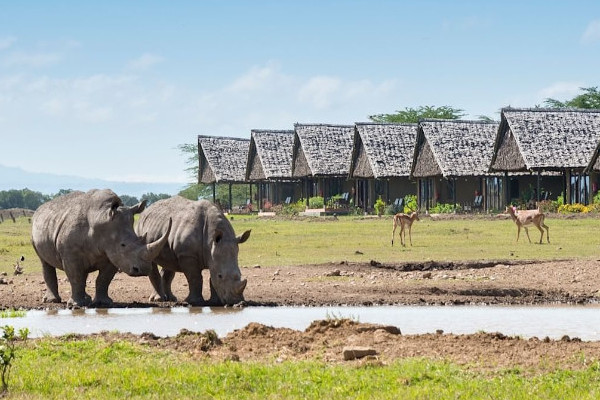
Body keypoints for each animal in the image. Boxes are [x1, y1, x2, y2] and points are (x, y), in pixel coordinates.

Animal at [31, 189, 170, 308]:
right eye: (123, 245)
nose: (142, 270)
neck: (100, 221)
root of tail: (40, 208)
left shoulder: (112, 254)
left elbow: (104, 279)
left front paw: (103, 303)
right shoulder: (70, 255)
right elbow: (75, 277)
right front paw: (77, 305)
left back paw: (86, 299)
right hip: (35, 228)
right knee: (45, 262)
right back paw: (52, 301)